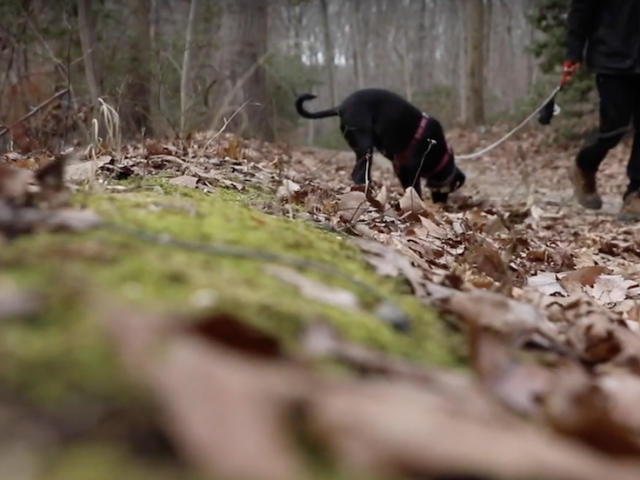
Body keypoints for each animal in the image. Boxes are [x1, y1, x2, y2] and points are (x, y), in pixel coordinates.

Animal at [296, 88, 464, 202]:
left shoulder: (400, 168)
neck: (440, 156)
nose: (441, 204)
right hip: (365, 145)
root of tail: (340, 107)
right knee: (358, 173)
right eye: (447, 190)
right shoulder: (410, 169)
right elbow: (415, 189)